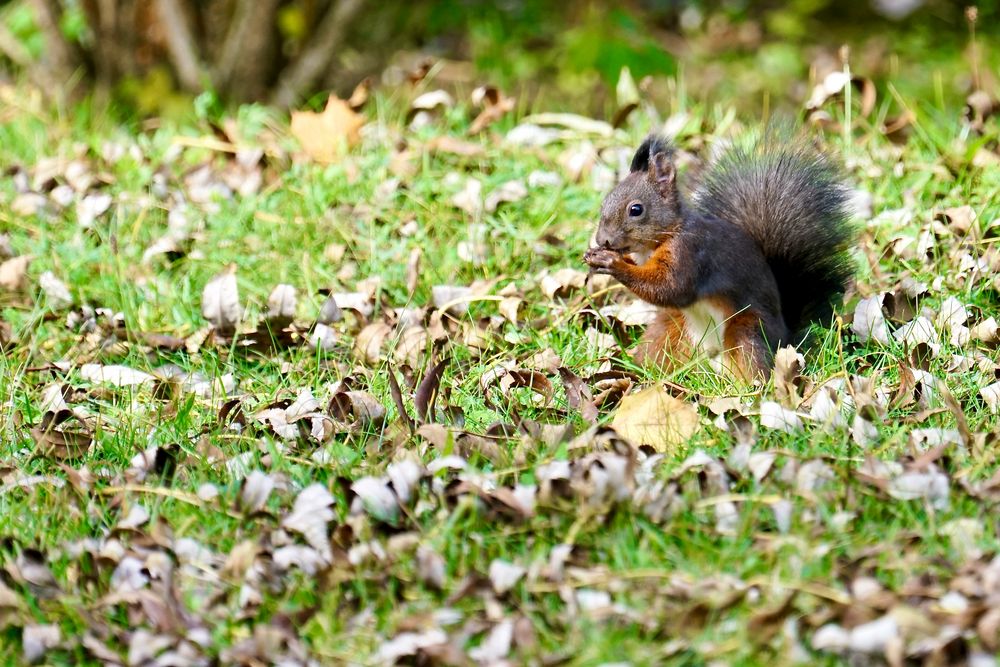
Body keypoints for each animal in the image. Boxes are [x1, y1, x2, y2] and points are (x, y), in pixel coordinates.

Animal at [584, 132, 856, 380]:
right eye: (604, 202)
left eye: (636, 209)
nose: (602, 239)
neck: (662, 238)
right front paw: (595, 255)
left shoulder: (690, 253)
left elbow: (671, 287)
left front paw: (612, 263)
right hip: (669, 329)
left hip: (746, 332)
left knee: (753, 364)